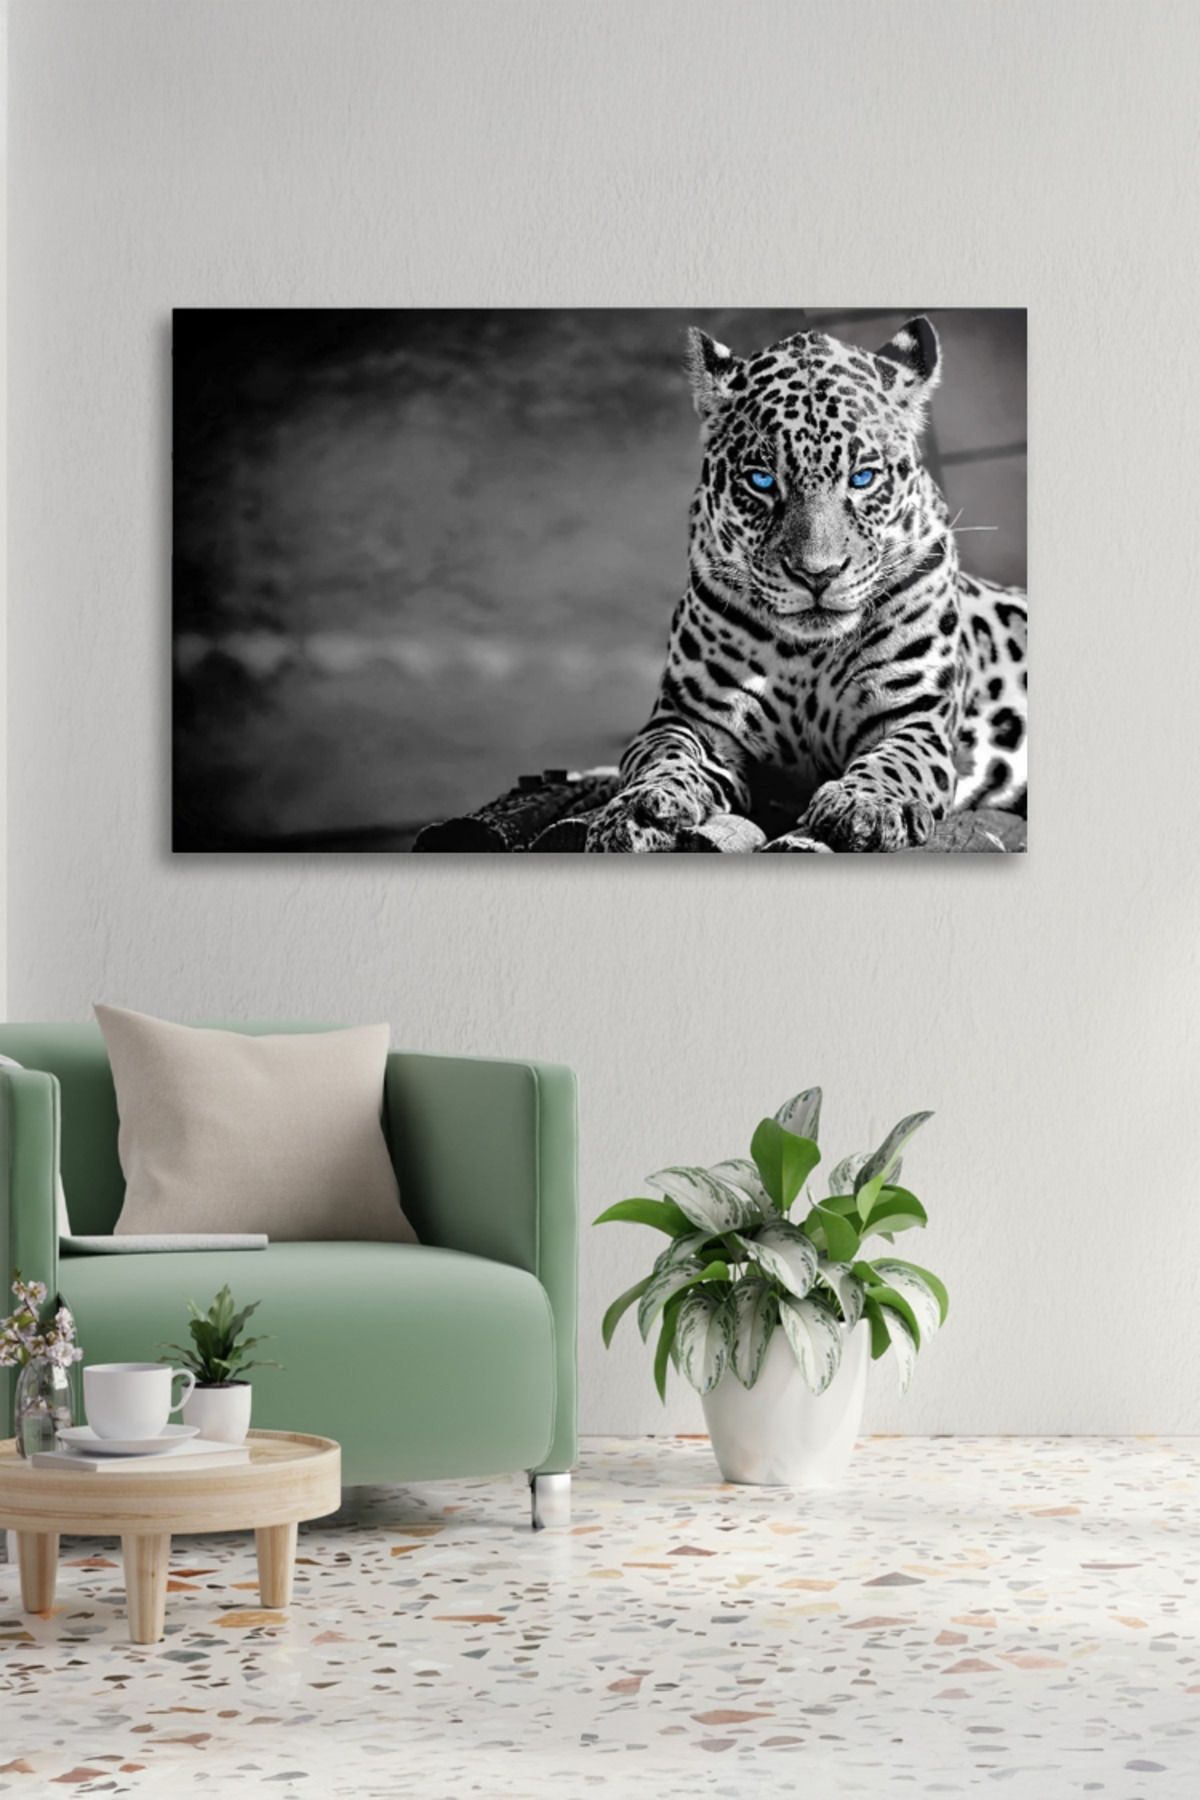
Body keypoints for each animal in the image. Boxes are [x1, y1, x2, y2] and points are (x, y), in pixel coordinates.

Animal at [585, 315, 1027, 853]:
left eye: (863, 478)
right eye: (761, 481)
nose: (817, 574)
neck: (809, 655)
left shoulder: (915, 717)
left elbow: (895, 762)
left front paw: (865, 806)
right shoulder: (689, 718)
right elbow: (663, 756)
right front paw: (640, 808)